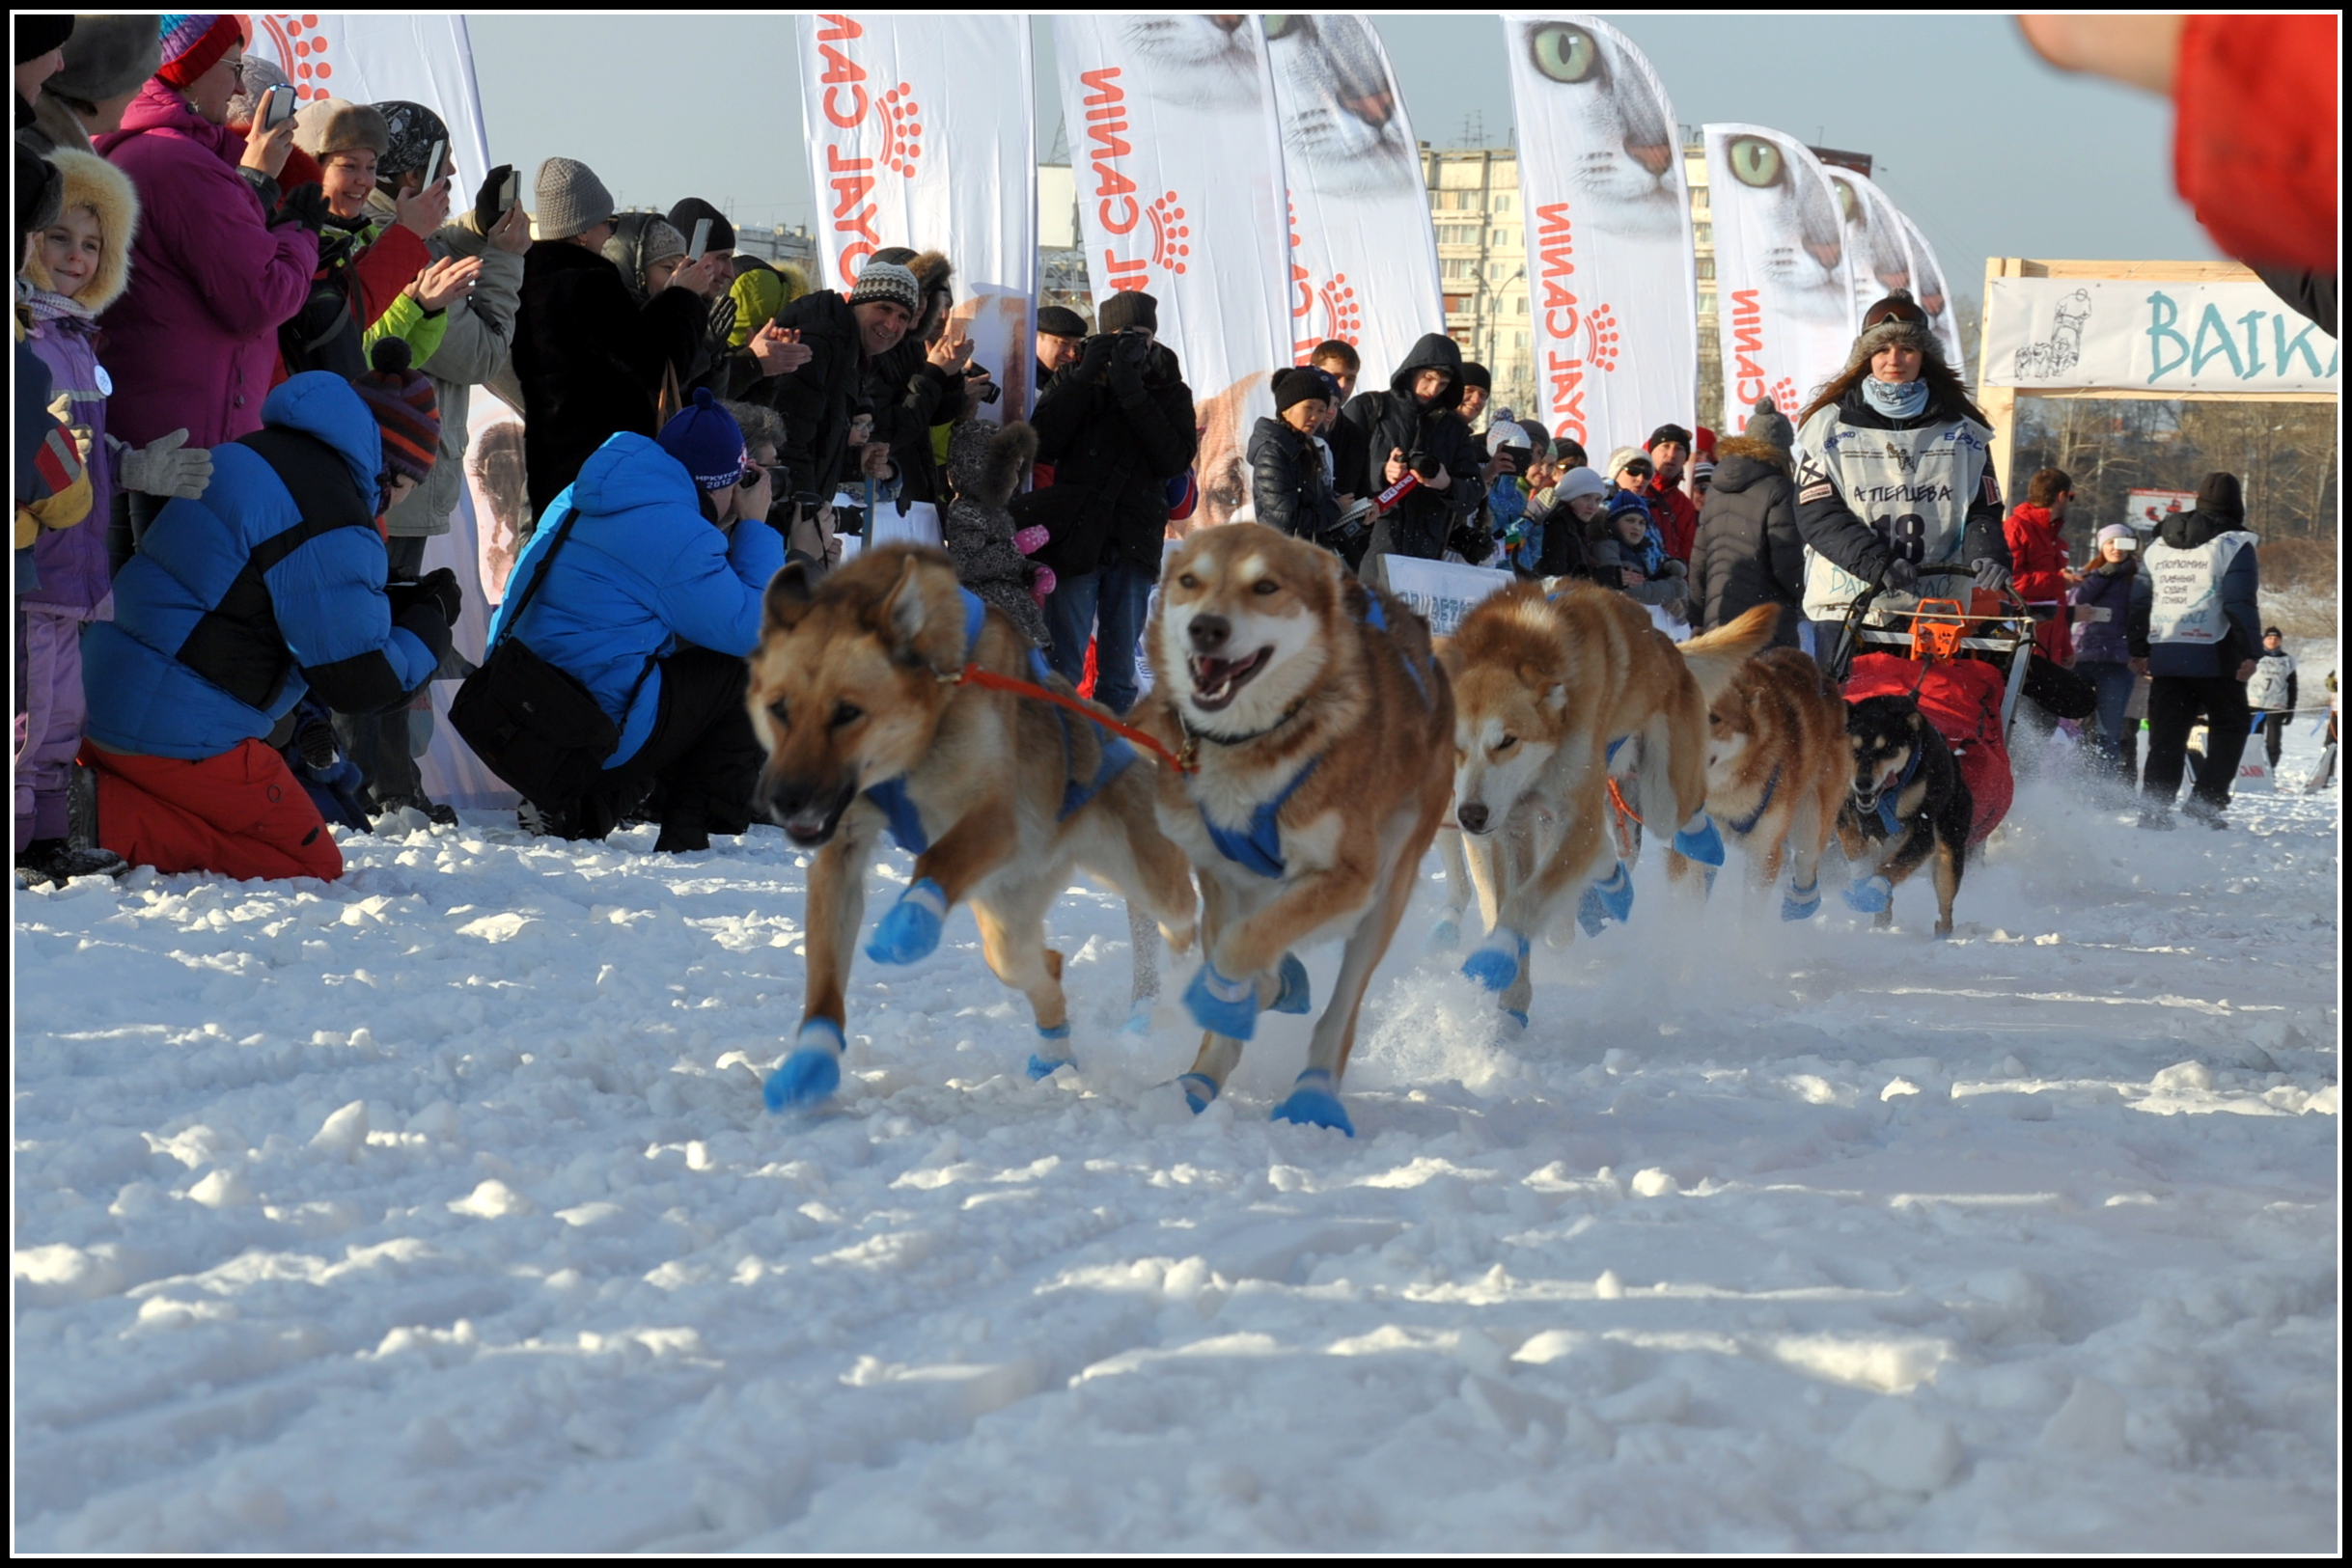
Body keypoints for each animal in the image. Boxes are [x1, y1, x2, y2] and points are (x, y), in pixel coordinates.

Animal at [747, 545, 1194, 1109]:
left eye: (847, 712)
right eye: (778, 709)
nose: (782, 799)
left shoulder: (999, 819)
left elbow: (935, 858)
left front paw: (909, 922)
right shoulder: (839, 852)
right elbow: (824, 979)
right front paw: (811, 1059)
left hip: (1148, 879)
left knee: (1182, 920)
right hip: (1005, 923)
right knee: (1042, 965)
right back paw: (1053, 1055)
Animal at [1123, 524, 1449, 1128]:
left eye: (1266, 587)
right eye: (1189, 581)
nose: (1207, 627)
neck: (1254, 742)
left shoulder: (1348, 878)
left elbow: (1242, 945)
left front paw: (1230, 994)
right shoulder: (1222, 876)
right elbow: (1240, 946)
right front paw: (1261, 993)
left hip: (1384, 896)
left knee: (1339, 1013)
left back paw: (1313, 1095)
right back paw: (1198, 1081)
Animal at [1439, 585, 1768, 1020]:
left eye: (1508, 740)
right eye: (1455, 745)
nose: (1471, 816)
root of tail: (1668, 646)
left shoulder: (1577, 816)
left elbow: (1526, 903)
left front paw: (1495, 956)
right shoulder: (1511, 828)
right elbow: (1511, 902)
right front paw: (1510, 1007)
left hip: (1660, 792)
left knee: (1681, 814)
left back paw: (1702, 841)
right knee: (1603, 853)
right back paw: (1614, 884)